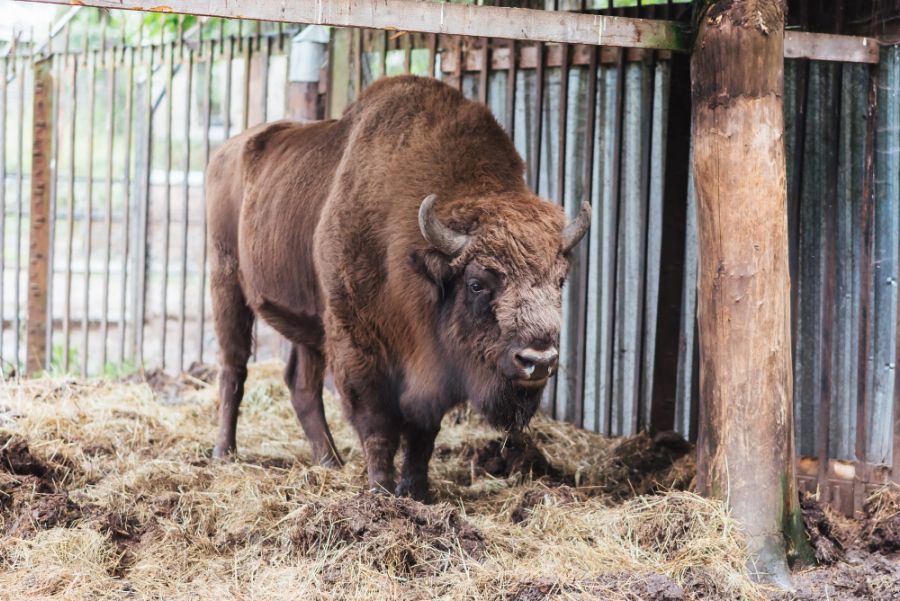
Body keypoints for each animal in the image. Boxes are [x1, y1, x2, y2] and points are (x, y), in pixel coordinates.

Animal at [204, 75, 592, 500]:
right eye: (477, 283)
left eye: (560, 280)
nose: (538, 360)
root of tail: (226, 151)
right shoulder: (358, 346)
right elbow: (378, 426)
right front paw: (382, 492)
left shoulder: (430, 372)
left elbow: (423, 435)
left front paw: (418, 492)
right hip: (226, 283)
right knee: (233, 369)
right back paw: (224, 453)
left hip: (308, 321)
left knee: (301, 385)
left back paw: (330, 462)